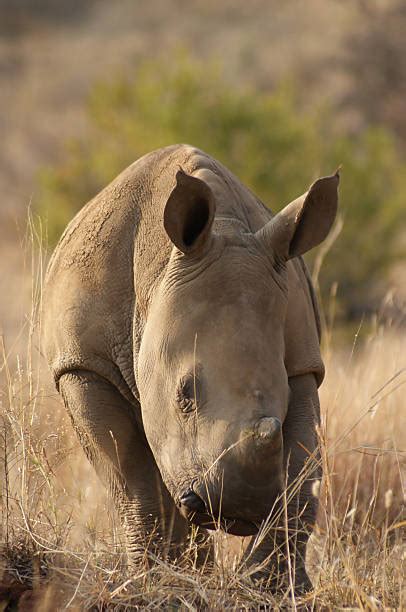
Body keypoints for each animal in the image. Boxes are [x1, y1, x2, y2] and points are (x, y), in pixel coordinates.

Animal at [42, 145, 338, 592]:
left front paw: (271, 587)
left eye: (281, 397)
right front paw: (157, 580)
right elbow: (131, 473)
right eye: (184, 395)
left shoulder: (303, 366)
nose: (238, 509)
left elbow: (304, 471)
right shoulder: (83, 364)